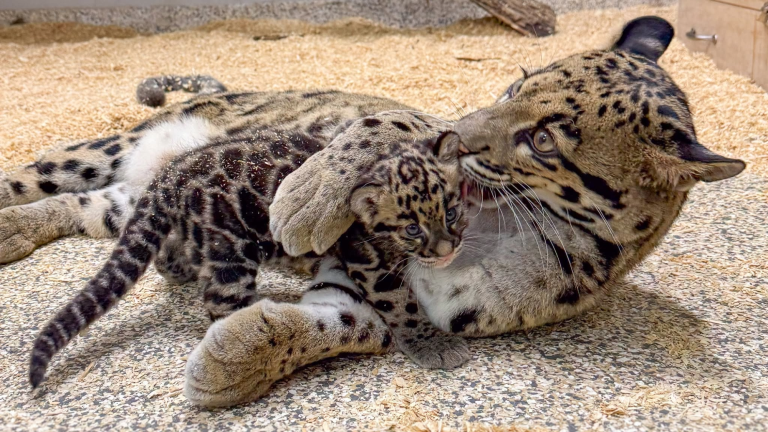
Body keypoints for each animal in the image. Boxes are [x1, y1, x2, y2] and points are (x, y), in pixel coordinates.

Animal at [29, 111, 470, 401]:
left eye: (451, 212)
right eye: (412, 228)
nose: (446, 250)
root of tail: (172, 172)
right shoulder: (365, 257)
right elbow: (399, 303)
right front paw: (431, 343)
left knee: (168, 259)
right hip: (230, 250)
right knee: (219, 301)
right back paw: (249, 325)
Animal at [180, 16, 746, 406]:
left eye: (542, 141)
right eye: (515, 86)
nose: (459, 136)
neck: (509, 231)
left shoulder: (386, 290)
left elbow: (347, 326)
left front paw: (234, 362)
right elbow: (392, 121)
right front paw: (312, 192)